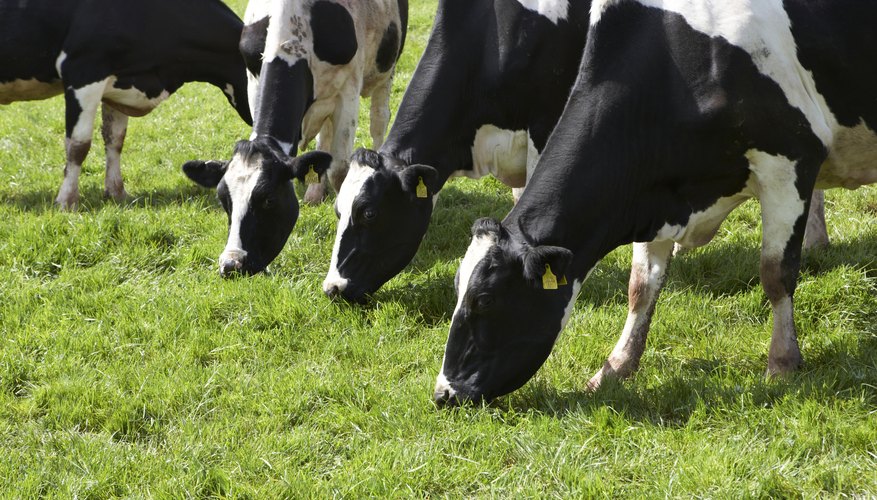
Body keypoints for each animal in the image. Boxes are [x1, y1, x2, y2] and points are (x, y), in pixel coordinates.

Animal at [0, 0, 253, 209]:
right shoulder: (83, 71)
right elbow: (78, 145)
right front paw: (67, 201)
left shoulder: (118, 82)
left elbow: (115, 139)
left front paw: (117, 193)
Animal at [184, 0, 408, 278]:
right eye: (224, 200)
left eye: (269, 200)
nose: (231, 264)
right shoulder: (253, 81)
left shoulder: (348, 90)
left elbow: (340, 170)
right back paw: (314, 192)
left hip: (386, 69)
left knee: (379, 120)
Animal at [432, 0, 876, 406]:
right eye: (457, 290)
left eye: (485, 299)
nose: (443, 393)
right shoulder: (650, 193)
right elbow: (641, 287)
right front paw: (615, 368)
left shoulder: (789, 163)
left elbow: (775, 274)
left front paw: (782, 363)